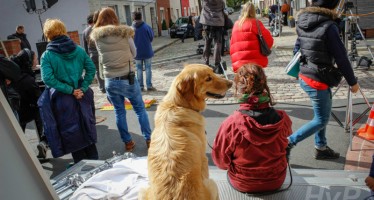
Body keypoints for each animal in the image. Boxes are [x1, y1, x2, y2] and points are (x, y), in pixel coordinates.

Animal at [140, 64, 232, 200]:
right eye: (208, 79)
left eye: (213, 72)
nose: (231, 83)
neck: (178, 104)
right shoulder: (203, 158)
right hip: (212, 183)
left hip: (143, 190)